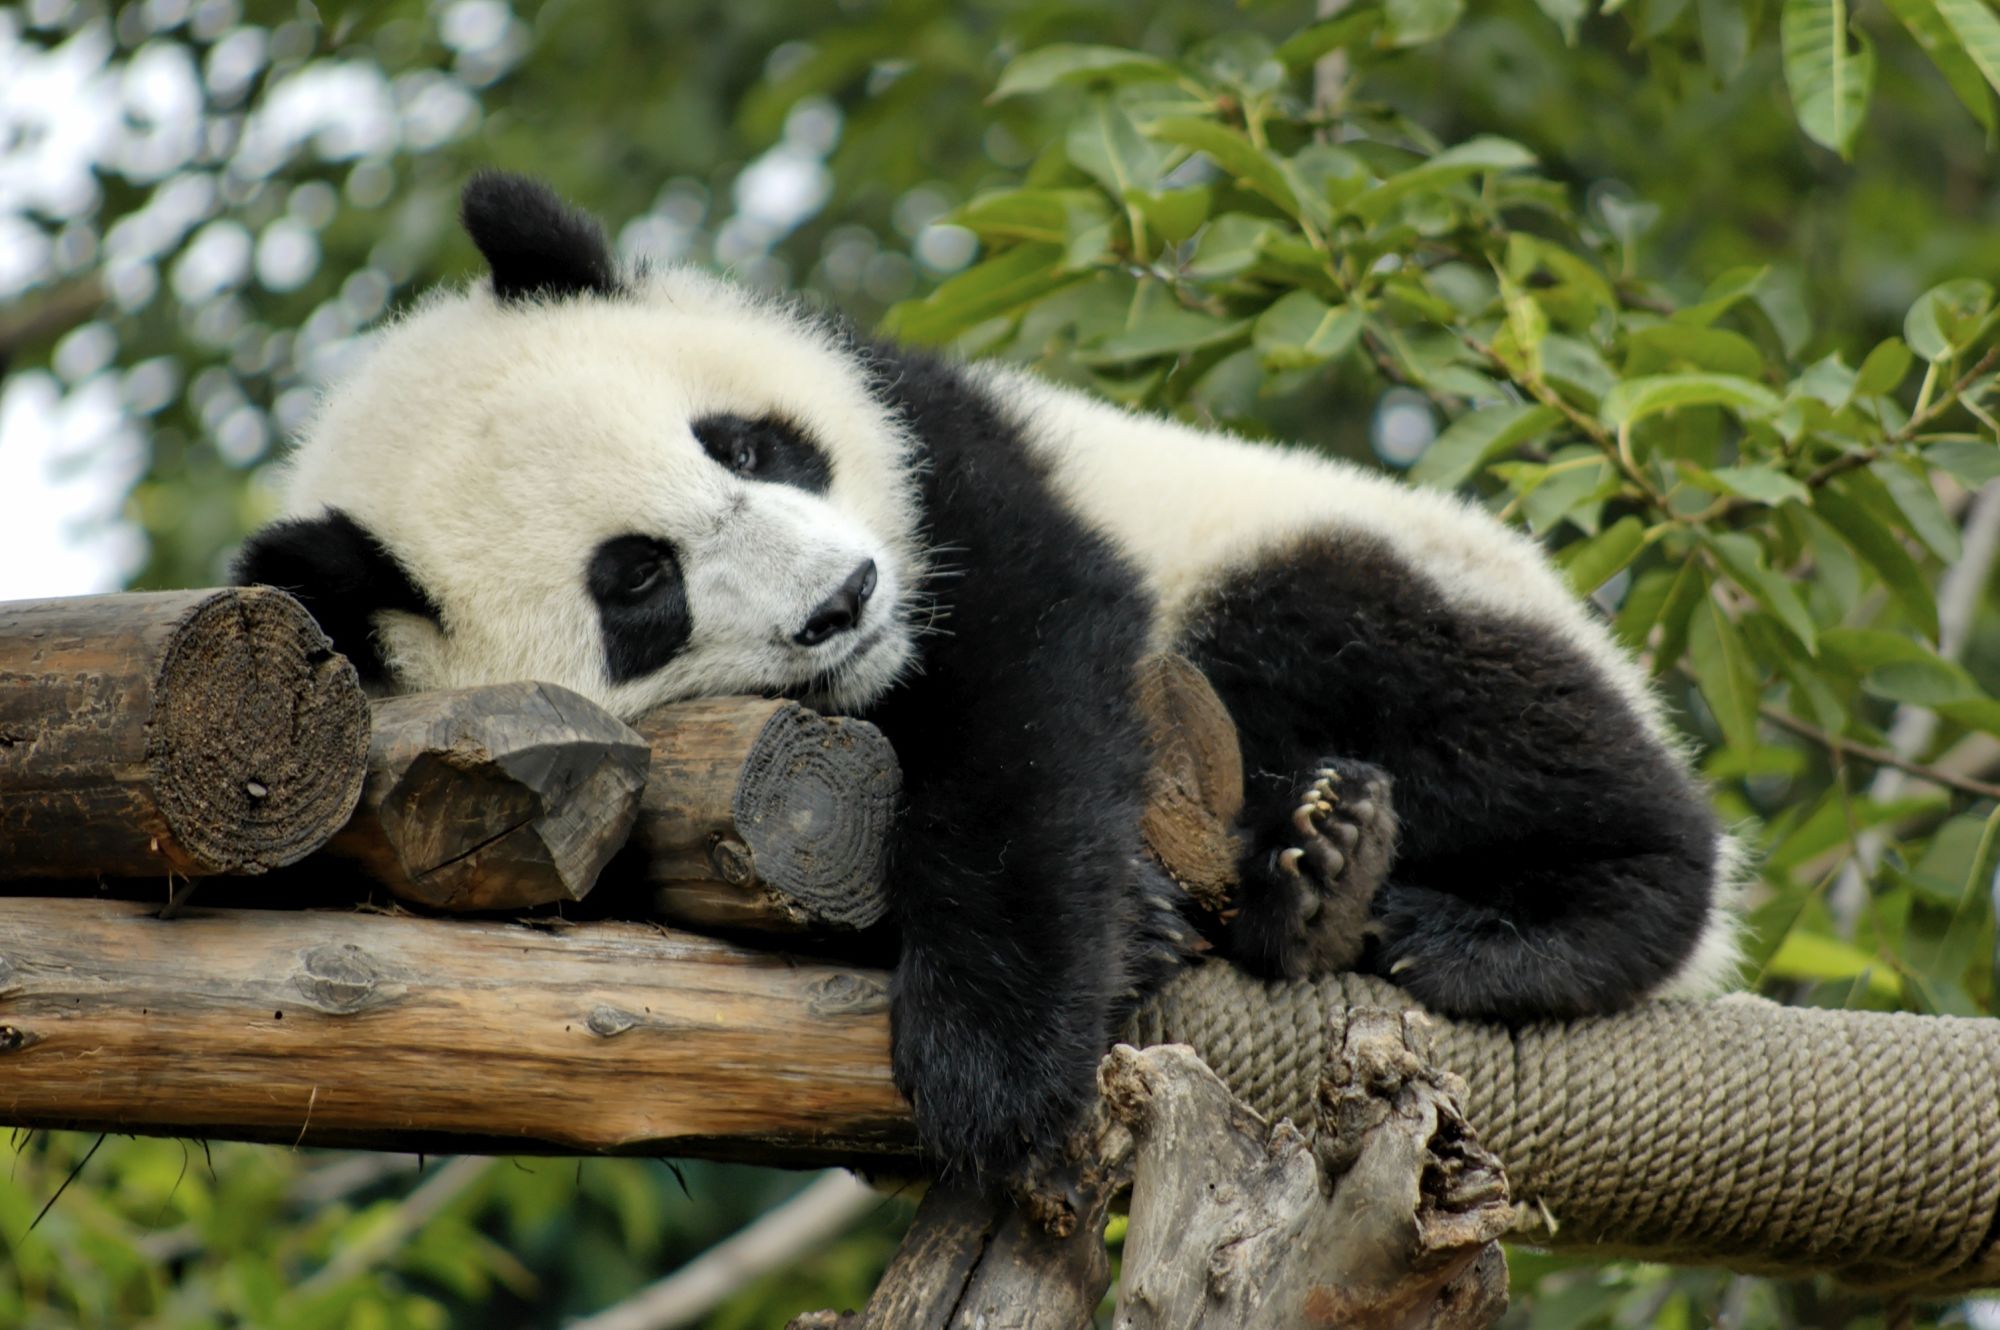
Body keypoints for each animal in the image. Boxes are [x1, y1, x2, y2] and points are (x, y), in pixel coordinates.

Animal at [237, 172, 1741, 1182]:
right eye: (640, 584)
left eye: (746, 444)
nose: (845, 600)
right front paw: (1121, 944)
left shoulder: (941, 456)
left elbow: (1030, 691)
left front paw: (995, 1056)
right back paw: (1313, 886)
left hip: (1345, 558)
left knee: (1411, 668)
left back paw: (1499, 914)